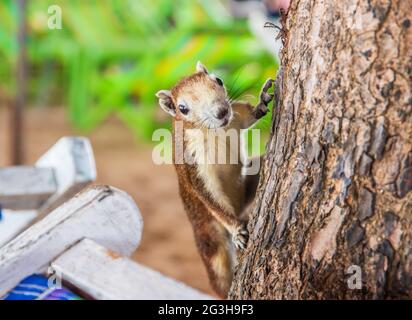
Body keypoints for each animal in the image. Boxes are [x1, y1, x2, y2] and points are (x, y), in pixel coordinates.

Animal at [155, 62, 274, 298]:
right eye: (182, 108)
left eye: (218, 80)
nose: (221, 112)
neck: (215, 131)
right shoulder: (194, 167)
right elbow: (210, 197)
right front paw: (237, 231)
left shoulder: (237, 115)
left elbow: (250, 116)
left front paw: (263, 100)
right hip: (209, 238)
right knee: (219, 273)